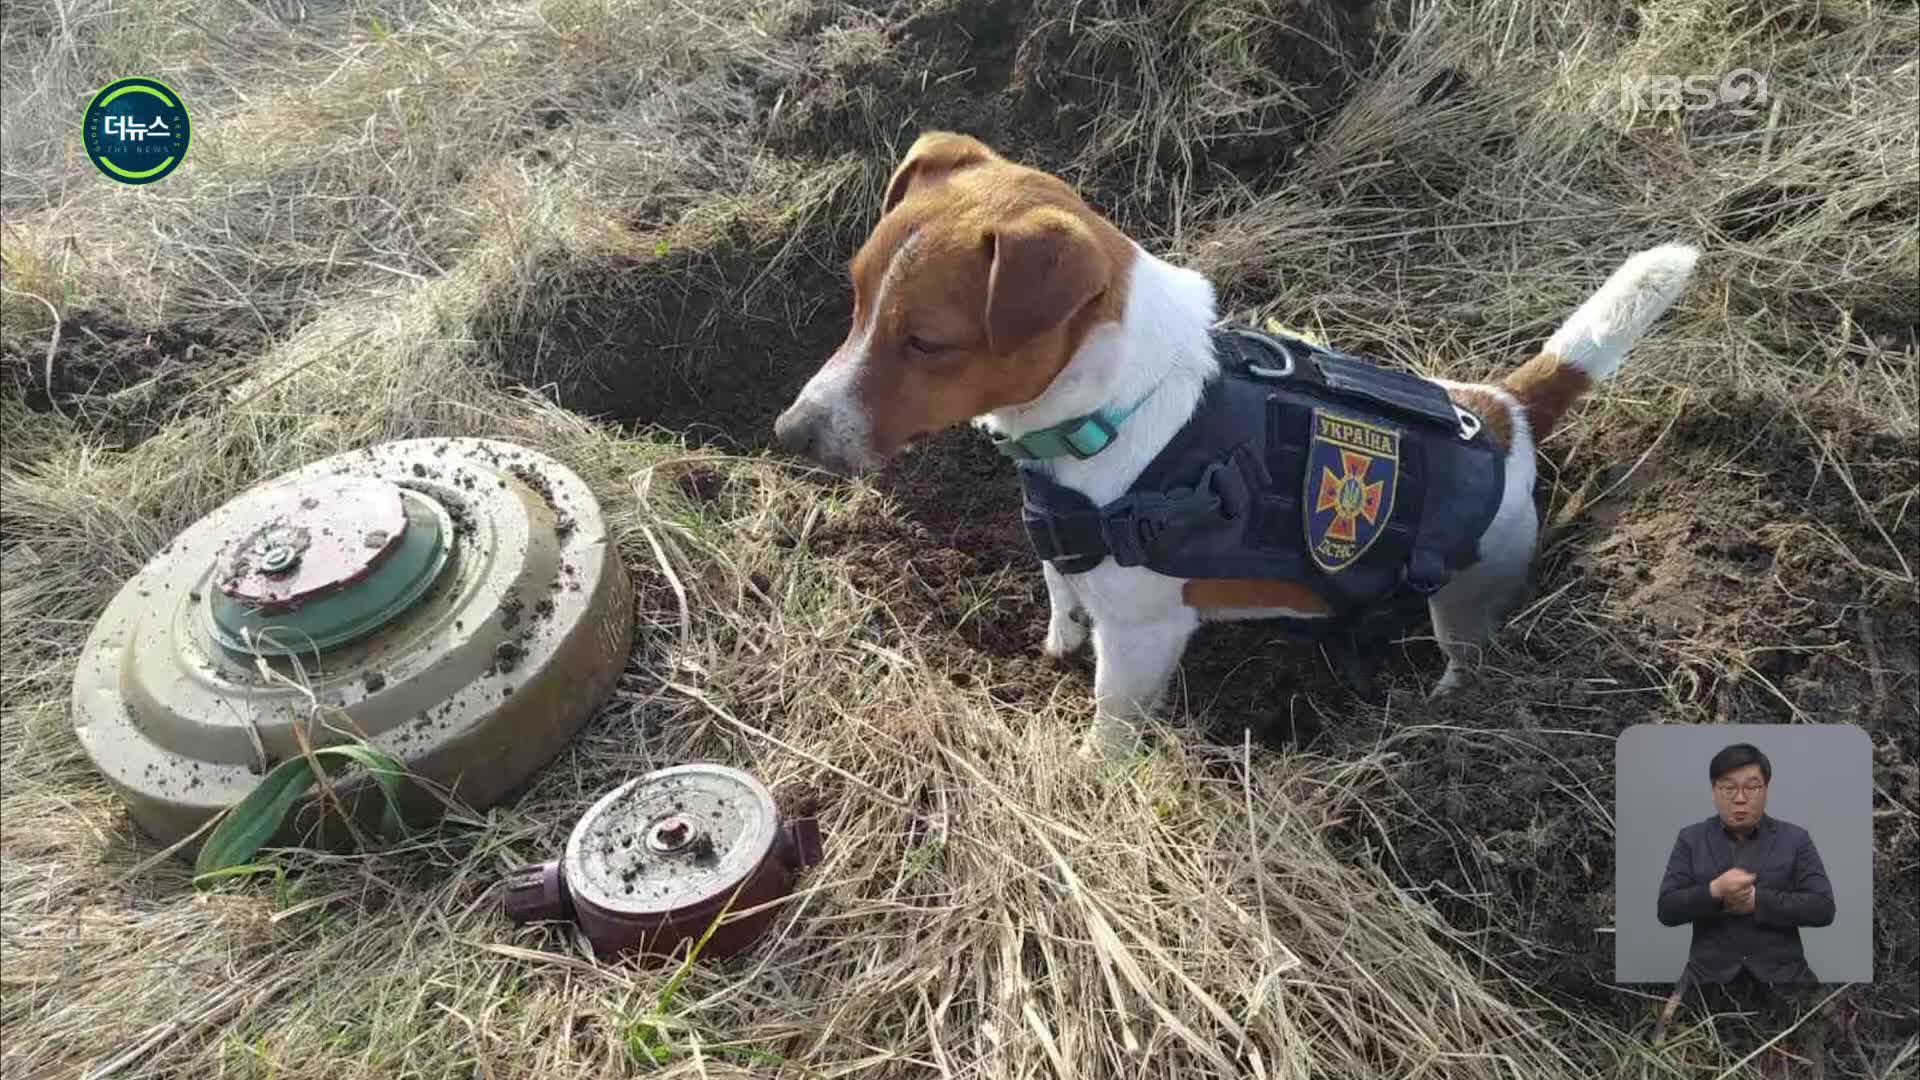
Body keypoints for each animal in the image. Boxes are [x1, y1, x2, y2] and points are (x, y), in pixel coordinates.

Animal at [771, 130, 1704, 757]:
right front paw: (1054, 646)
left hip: (1471, 595)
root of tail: (1504, 409)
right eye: (855, 297)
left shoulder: (1142, 636)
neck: (1116, 406)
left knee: (1467, 653)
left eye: (928, 344)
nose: (789, 432)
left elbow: (1112, 721)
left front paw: (1091, 770)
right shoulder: (1065, 552)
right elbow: (1061, 597)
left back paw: (1442, 706)